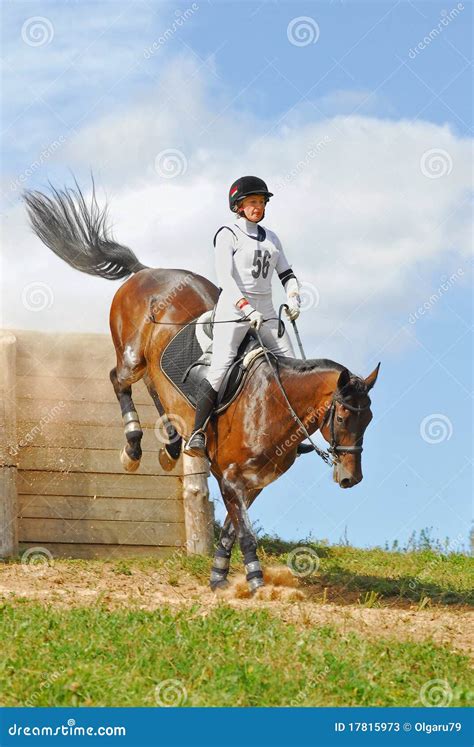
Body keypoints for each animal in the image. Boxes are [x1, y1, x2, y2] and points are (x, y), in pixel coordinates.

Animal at [23, 180, 382, 592]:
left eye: (368, 420)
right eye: (340, 416)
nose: (350, 478)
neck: (274, 405)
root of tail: (146, 272)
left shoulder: (253, 484)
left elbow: (230, 528)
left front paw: (219, 576)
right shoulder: (230, 477)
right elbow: (244, 530)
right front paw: (255, 581)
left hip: (153, 367)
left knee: (156, 389)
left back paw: (171, 446)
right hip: (131, 357)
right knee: (119, 381)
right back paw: (133, 448)